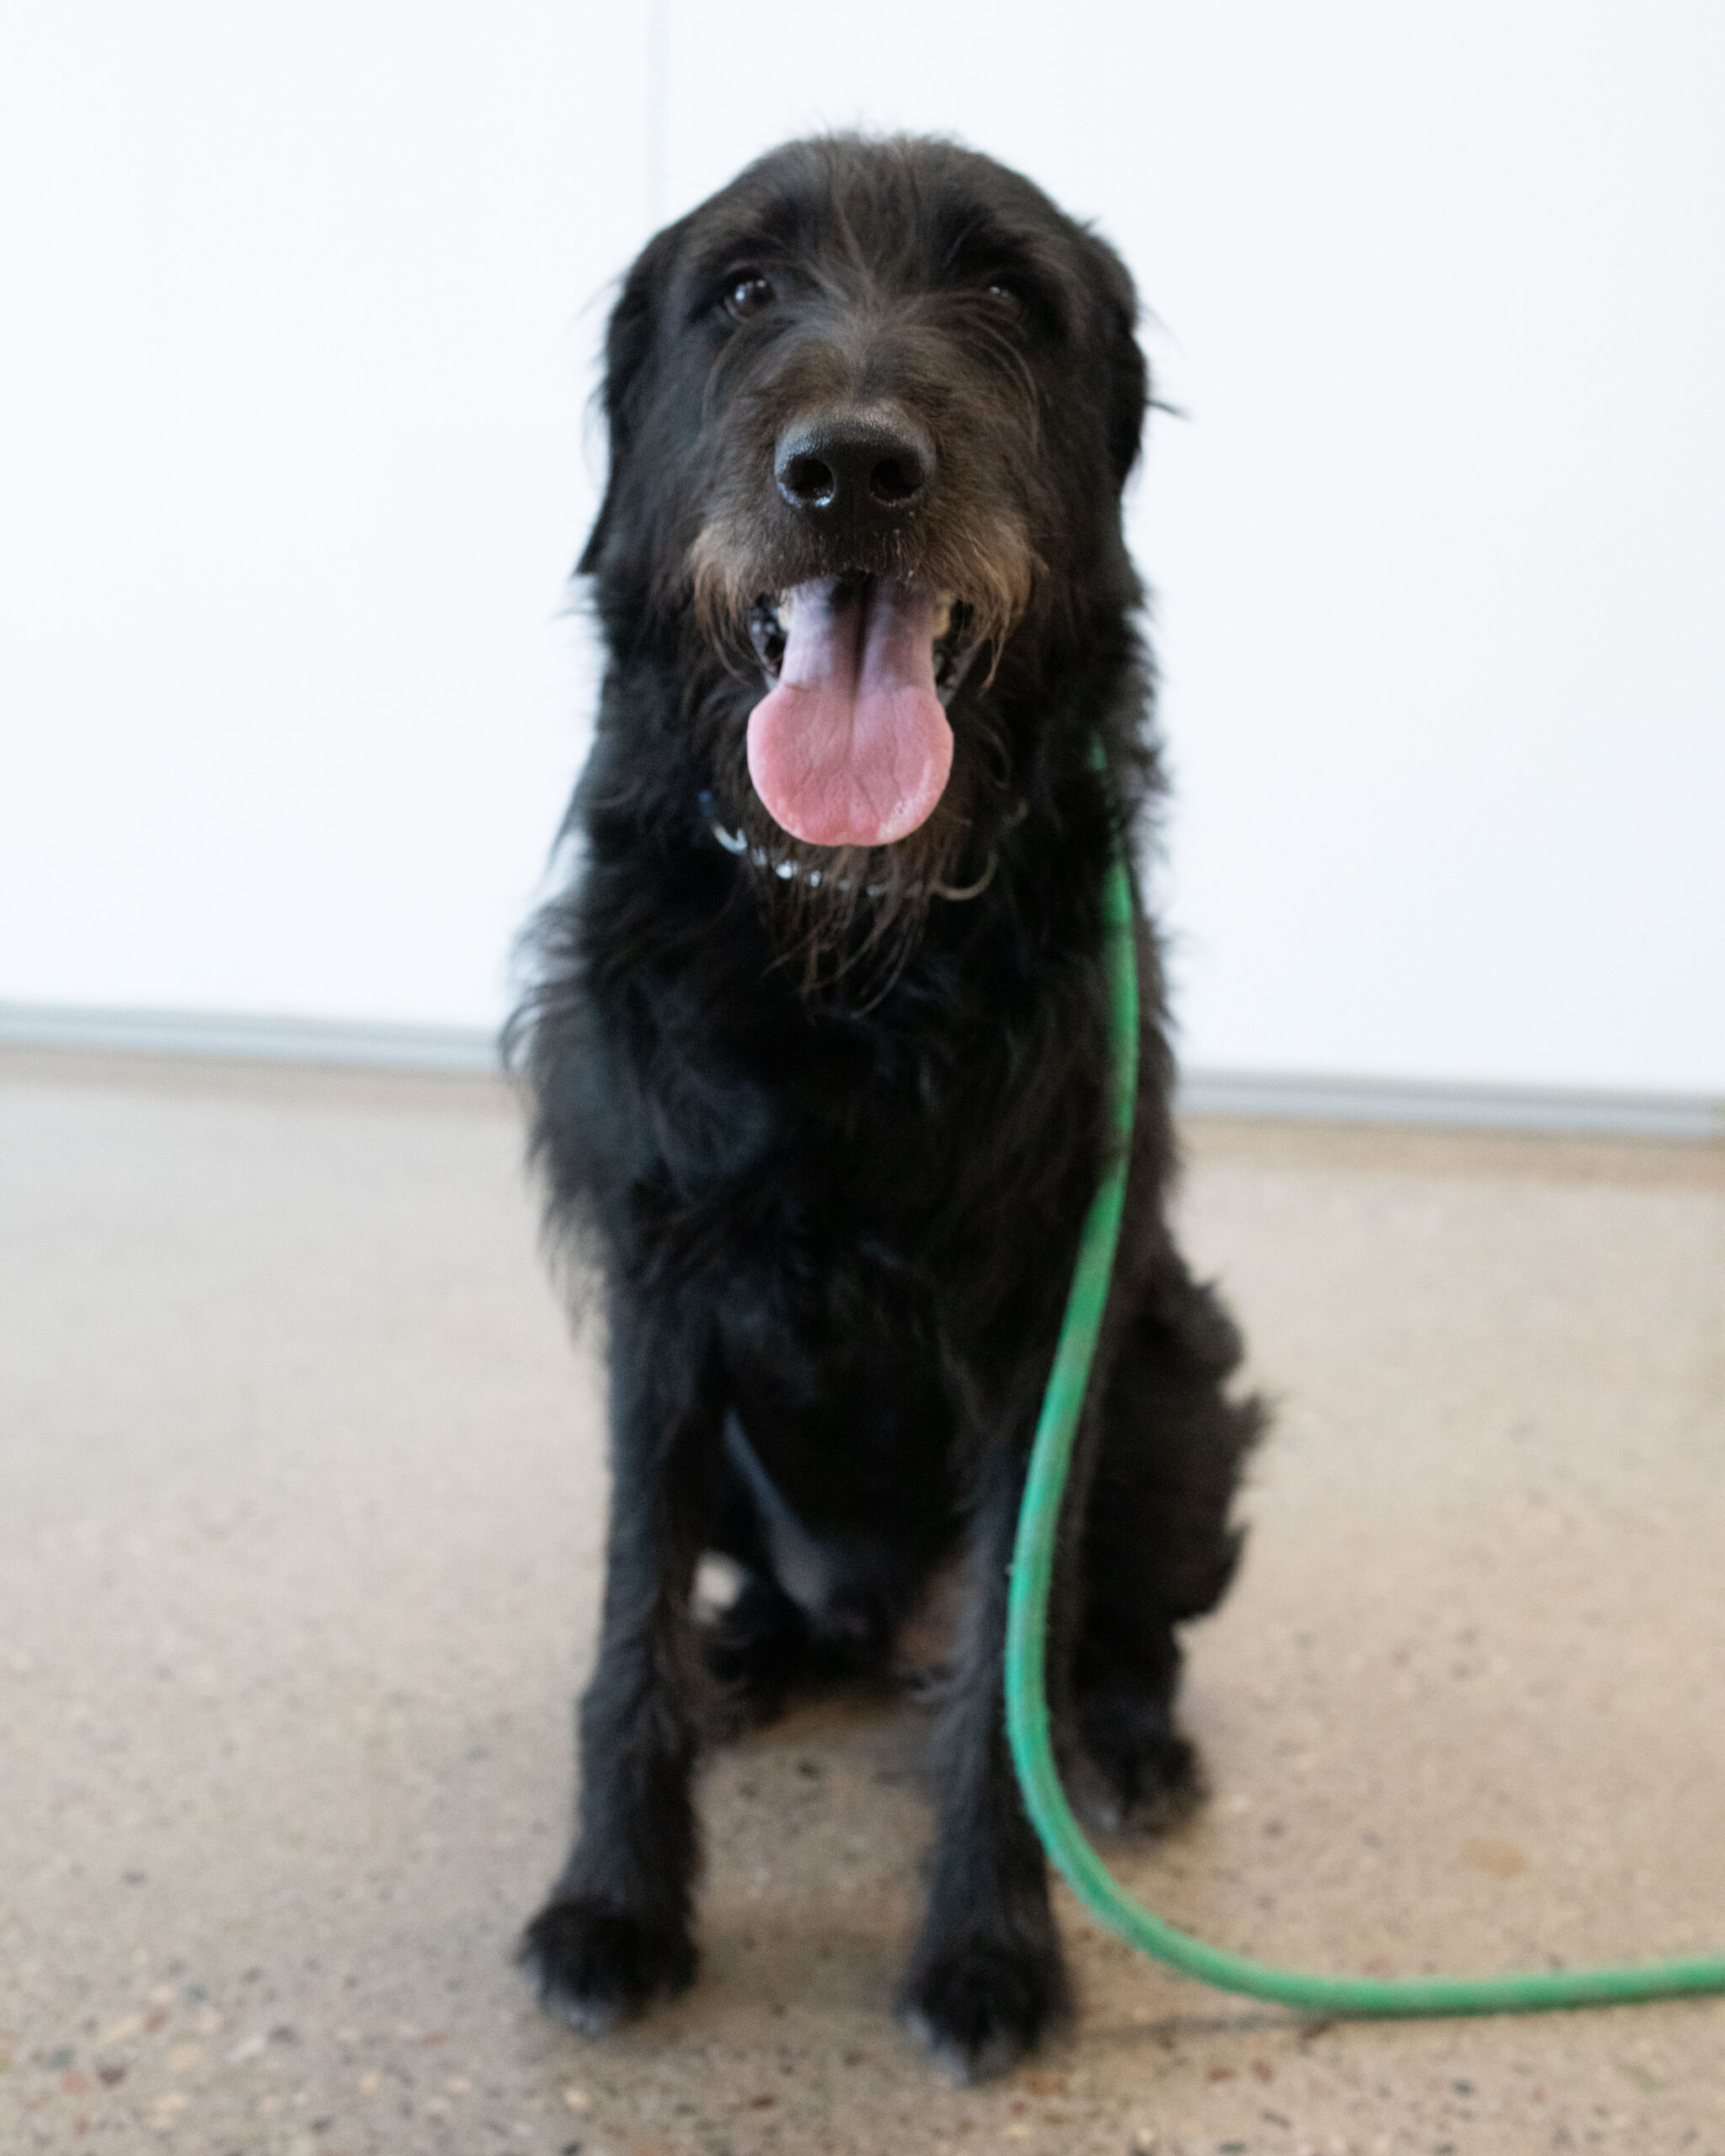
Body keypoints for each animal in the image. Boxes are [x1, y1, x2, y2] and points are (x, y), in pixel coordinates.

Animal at [509, 133, 1262, 2080]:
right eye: (743, 293)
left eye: (1002, 292)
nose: (849, 466)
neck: (849, 935)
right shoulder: (661, 1299)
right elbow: (622, 1621)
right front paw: (614, 1903)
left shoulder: (1044, 1322)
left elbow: (1004, 1659)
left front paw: (991, 1946)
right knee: (788, 1610)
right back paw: (761, 1654)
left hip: (1172, 1380)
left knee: (1089, 1635)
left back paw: (1127, 1742)